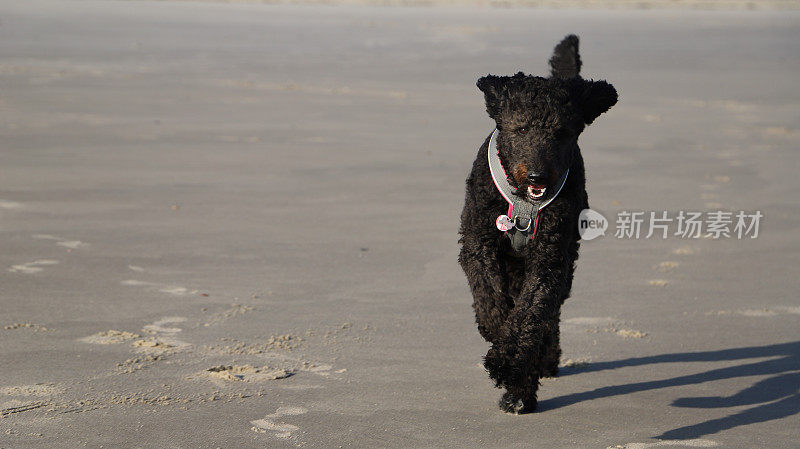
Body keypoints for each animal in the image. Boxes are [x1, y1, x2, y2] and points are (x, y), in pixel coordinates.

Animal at [456, 35, 620, 412]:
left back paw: (527, 383)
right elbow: (488, 292)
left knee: (550, 315)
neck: (522, 202)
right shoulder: (477, 241)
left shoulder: (550, 257)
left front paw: (508, 360)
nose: (538, 176)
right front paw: (493, 327)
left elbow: (532, 312)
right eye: (521, 128)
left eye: (562, 133)